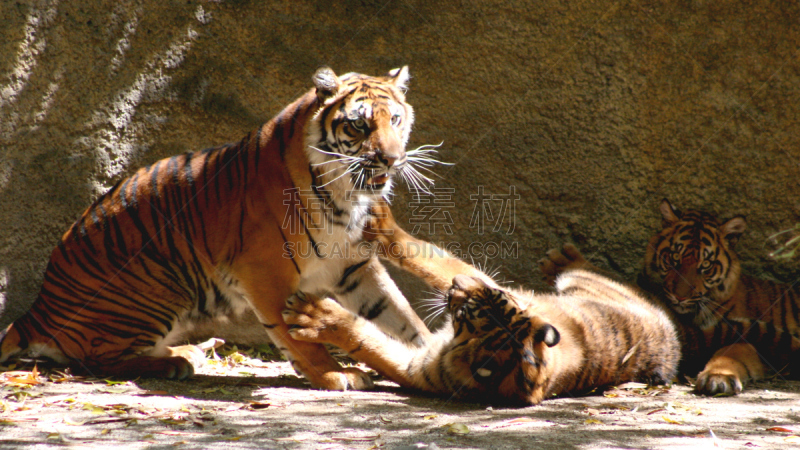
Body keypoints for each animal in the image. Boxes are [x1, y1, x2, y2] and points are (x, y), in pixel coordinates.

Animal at [0, 66, 488, 390]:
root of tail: (37, 309)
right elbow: (295, 336)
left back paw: (185, 351)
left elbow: (397, 315)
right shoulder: (266, 271)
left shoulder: (353, 267)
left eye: (396, 120)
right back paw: (174, 362)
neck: (345, 197)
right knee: (96, 359)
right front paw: (336, 374)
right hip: (159, 285)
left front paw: (426, 351)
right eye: (358, 124)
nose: (391, 158)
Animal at [282, 268, 676, 406]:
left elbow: (366, 337)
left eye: (465, 313)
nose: (460, 285)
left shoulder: (418, 365)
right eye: (497, 294)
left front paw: (311, 313)